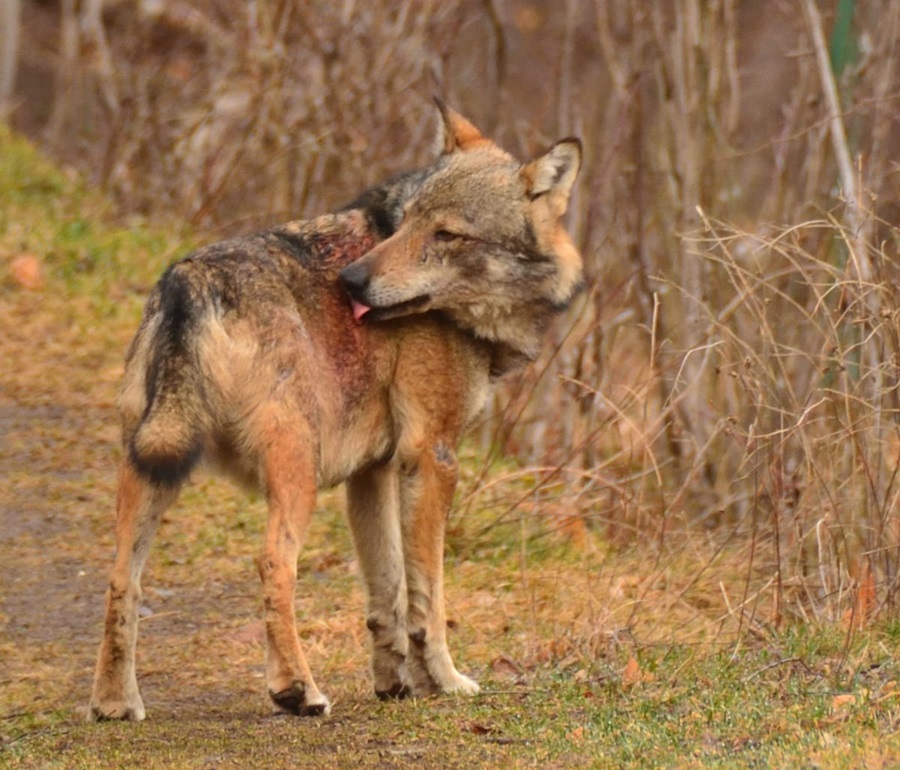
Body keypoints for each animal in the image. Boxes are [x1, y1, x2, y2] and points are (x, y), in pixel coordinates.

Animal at [88, 102, 583, 721]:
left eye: (445, 234)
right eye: (408, 223)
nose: (352, 282)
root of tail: (189, 282)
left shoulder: (373, 472)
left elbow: (388, 594)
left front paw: (397, 684)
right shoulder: (432, 456)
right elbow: (428, 598)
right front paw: (445, 682)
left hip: (152, 462)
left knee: (120, 579)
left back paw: (115, 702)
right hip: (296, 469)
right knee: (273, 564)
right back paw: (296, 689)